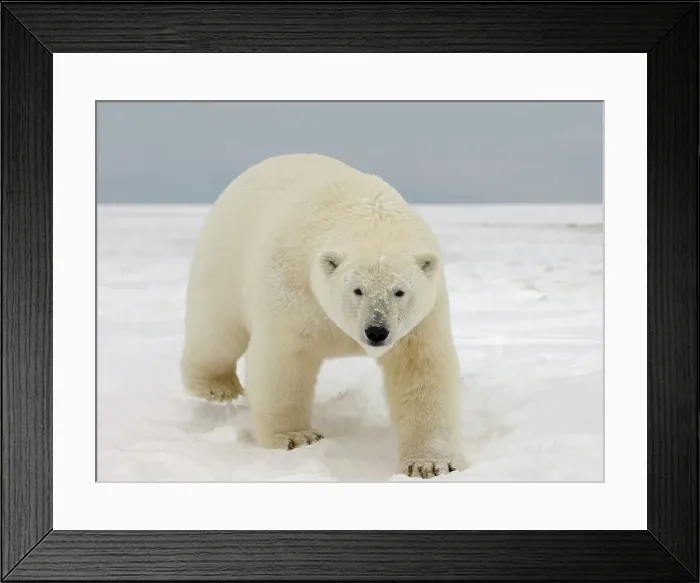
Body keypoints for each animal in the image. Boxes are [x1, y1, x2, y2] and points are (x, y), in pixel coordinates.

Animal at [180, 153, 465, 479]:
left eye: (399, 291)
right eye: (357, 290)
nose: (376, 331)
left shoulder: (422, 318)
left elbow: (422, 370)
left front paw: (429, 464)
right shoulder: (293, 290)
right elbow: (284, 360)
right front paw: (295, 437)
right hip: (224, 260)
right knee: (217, 332)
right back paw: (217, 387)